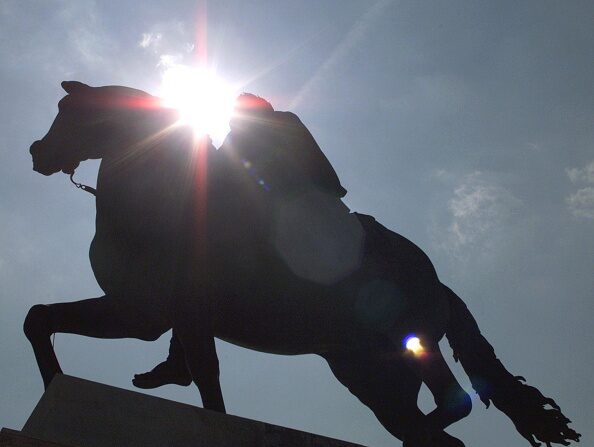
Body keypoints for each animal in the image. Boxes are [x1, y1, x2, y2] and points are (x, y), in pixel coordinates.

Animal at [25, 81, 576, 447]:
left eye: (70, 110)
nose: (37, 151)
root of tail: (439, 283)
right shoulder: (149, 313)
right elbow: (40, 318)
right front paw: (55, 382)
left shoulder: (149, 314)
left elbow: (207, 378)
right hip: (365, 371)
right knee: (429, 428)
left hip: (405, 342)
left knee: (450, 402)